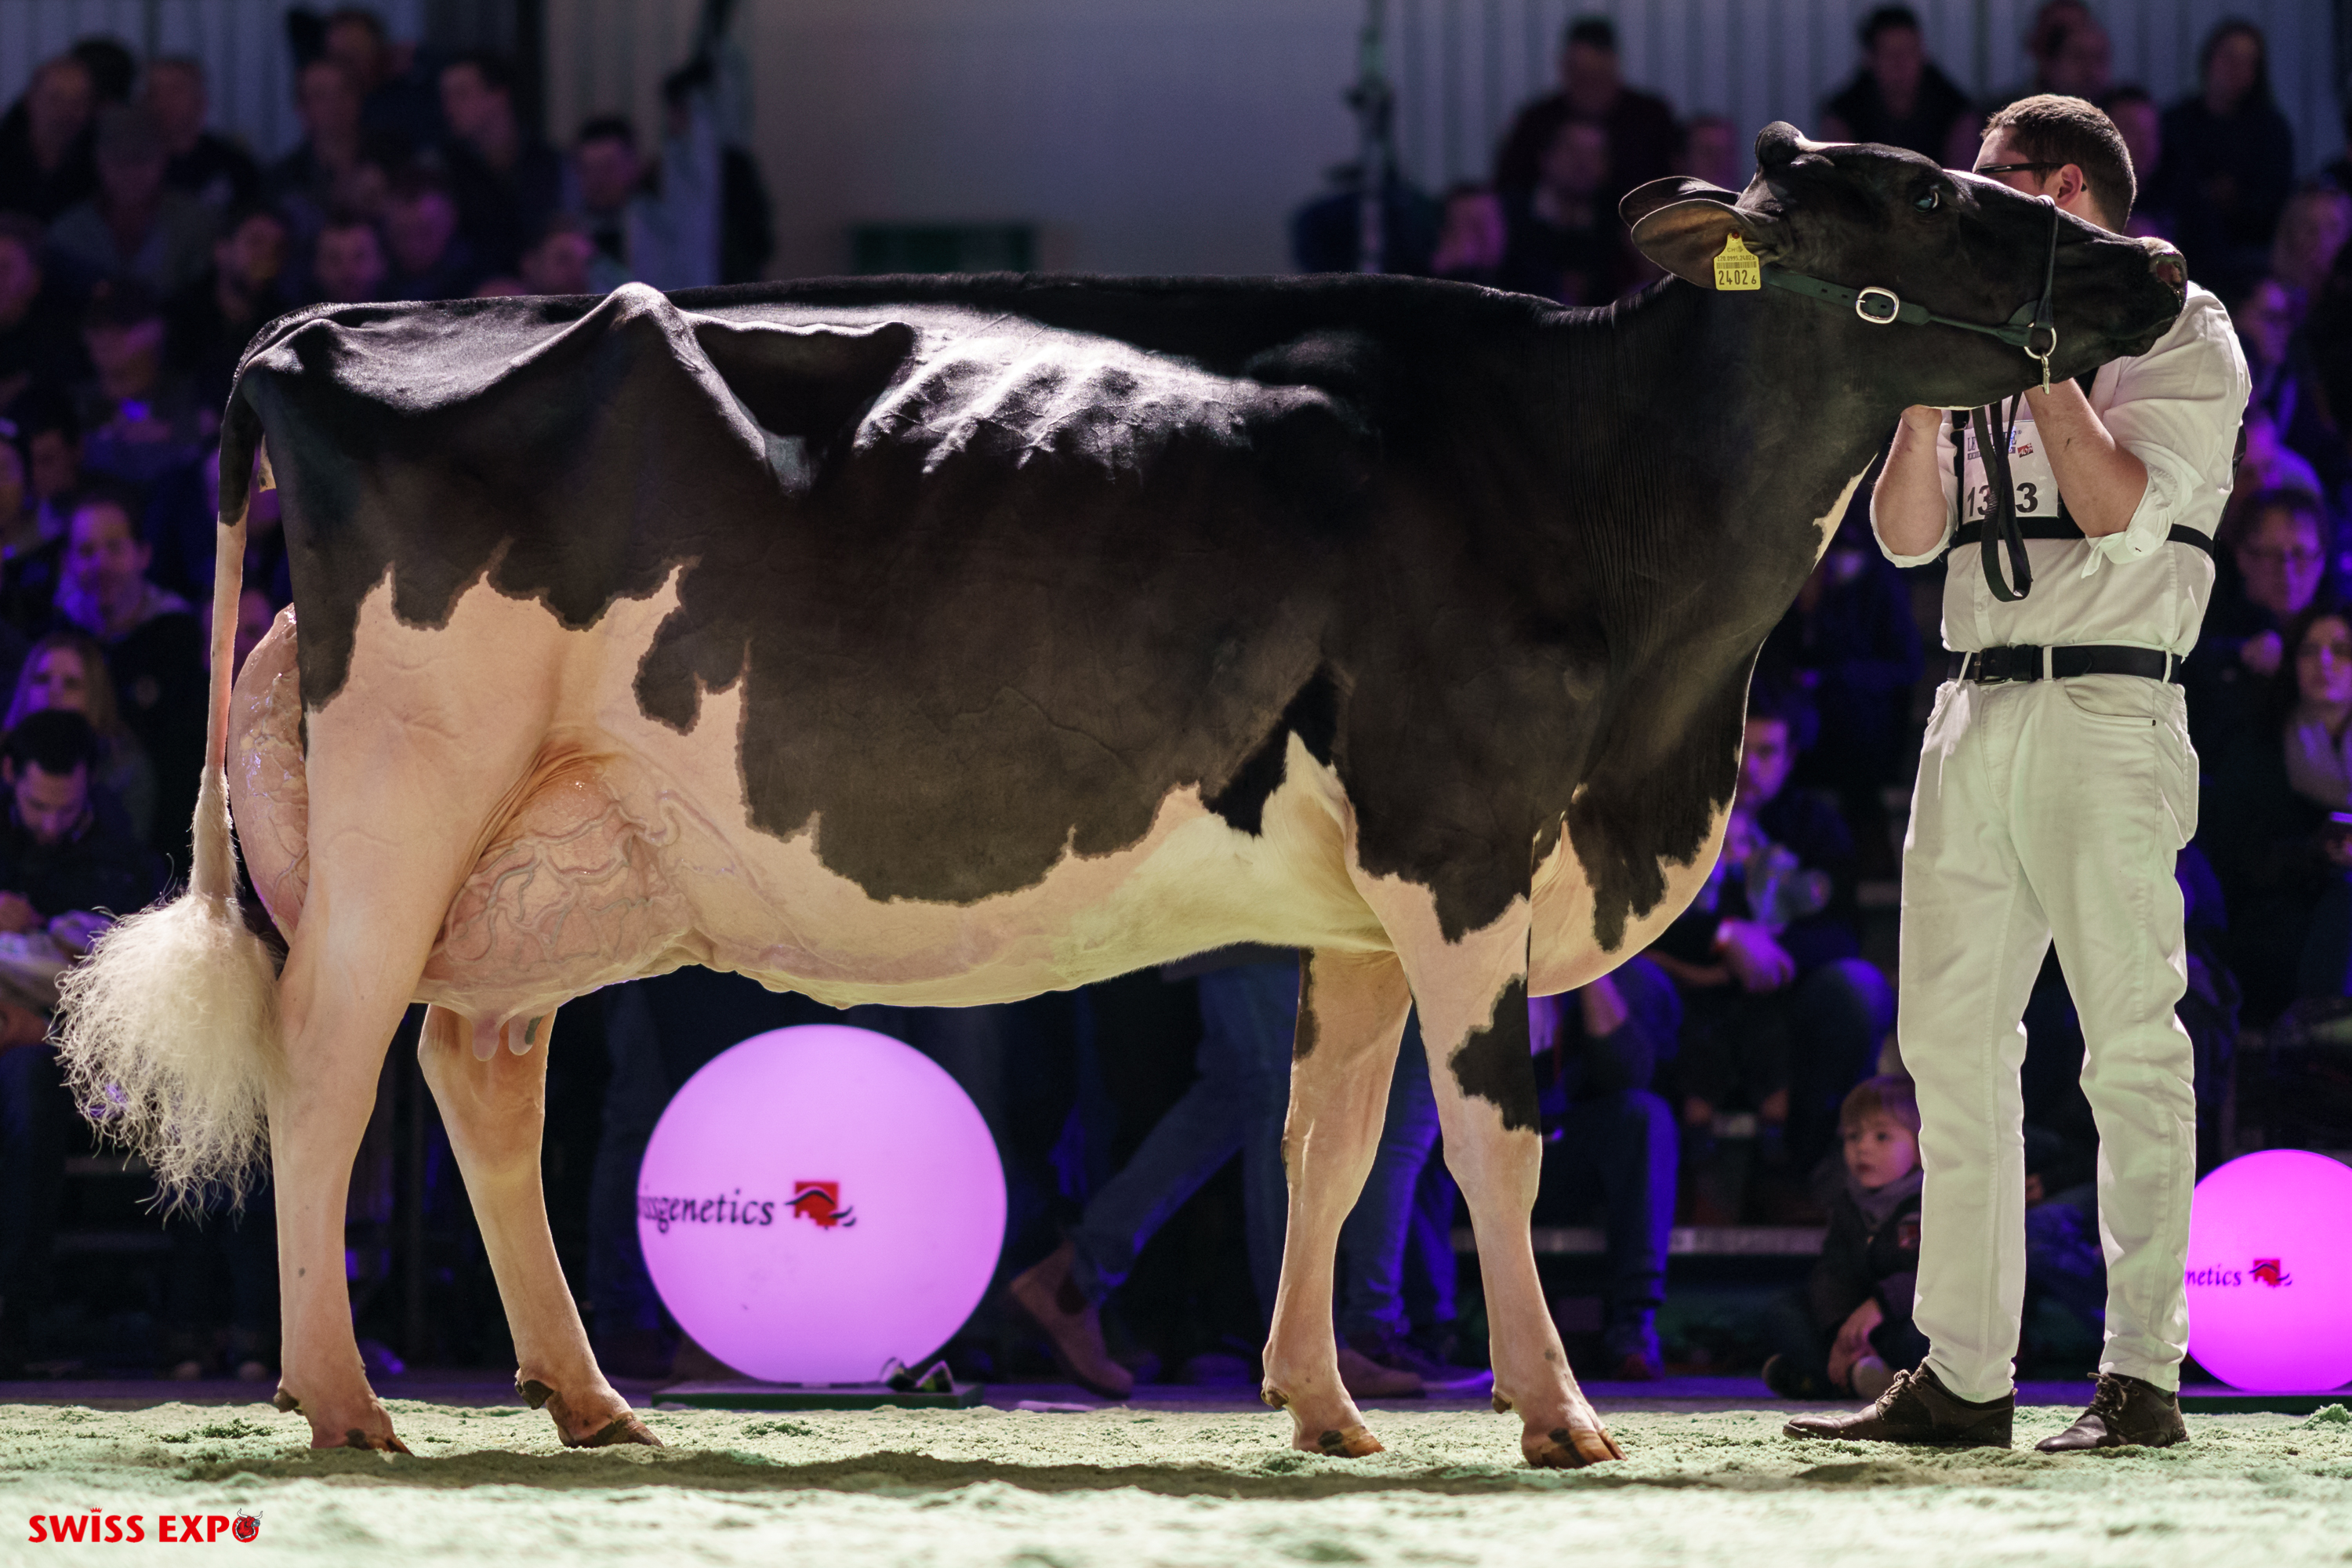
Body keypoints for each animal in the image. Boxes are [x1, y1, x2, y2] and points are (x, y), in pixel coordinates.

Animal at [57, 126, 2183, 1464]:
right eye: (1926, 196)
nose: (2159, 258)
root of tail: (328, 333)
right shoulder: (1465, 837)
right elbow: (1495, 1138)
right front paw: (1558, 1410)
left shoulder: (1364, 904)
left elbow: (1331, 1141)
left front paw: (1321, 1402)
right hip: (408, 791)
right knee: (331, 1052)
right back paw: (345, 1398)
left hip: (562, 847)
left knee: (479, 1069)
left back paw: (587, 1398)